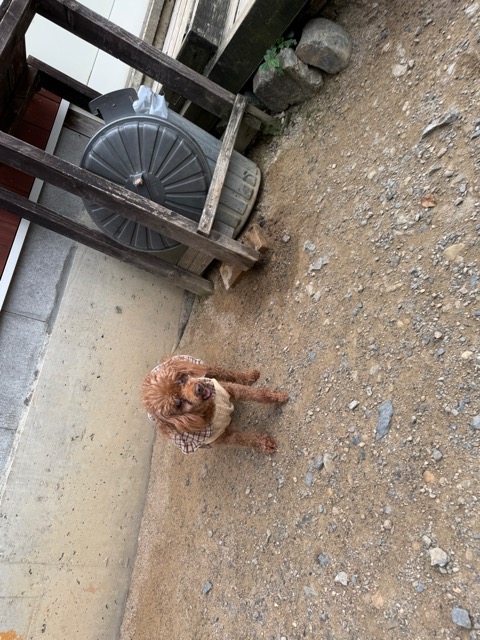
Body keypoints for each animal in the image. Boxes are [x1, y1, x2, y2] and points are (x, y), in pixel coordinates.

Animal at [141, 355, 289, 454]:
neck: (211, 408)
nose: (199, 389)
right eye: (178, 404)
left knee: (224, 372)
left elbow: (254, 393)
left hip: (204, 368)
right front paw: (265, 444)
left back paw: (249, 375)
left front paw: (278, 396)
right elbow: (245, 438)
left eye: (181, 380)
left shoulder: (228, 388)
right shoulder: (224, 437)